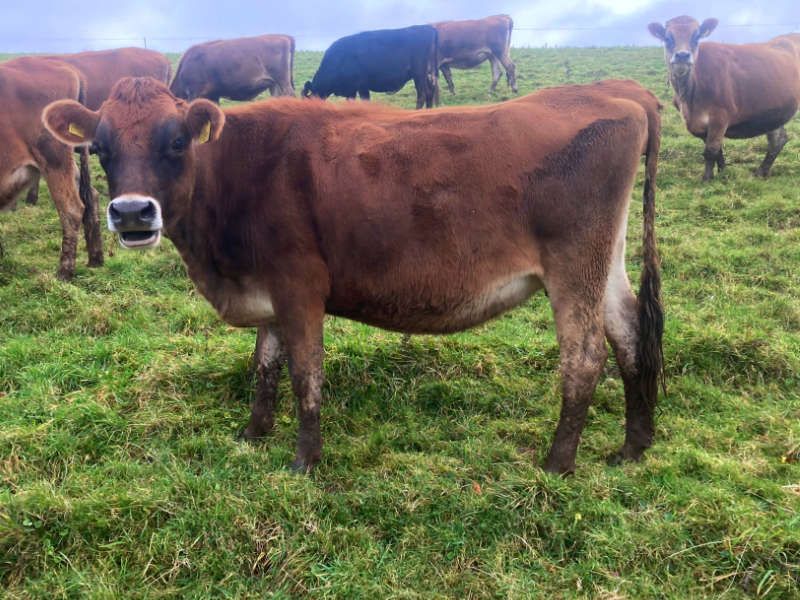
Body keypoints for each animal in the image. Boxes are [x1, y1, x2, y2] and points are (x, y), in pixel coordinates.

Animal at [43, 76, 664, 475]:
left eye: (175, 141)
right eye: (100, 147)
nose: (131, 213)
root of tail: (619, 91)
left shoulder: (299, 286)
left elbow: (304, 375)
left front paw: (304, 461)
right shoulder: (267, 289)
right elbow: (264, 366)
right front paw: (253, 434)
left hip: (573, 265)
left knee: (585, 356)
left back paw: (558, 463)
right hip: (605, 262)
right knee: (631, 335)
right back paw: (633, 447)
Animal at [302, 25, 439, 109]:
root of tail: (427, 28)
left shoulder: (360, 86)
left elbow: (364, 101)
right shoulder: (352, 89)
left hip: (418, 74)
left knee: (422, 94)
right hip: (427, 74)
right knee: (430, 92)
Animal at [649, 16, 800, 180]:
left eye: (696, 37)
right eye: (667, 38)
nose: (682, 55)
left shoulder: (720, 116)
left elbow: (711, 151)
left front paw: (707, 179)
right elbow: (718, 151)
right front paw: (723, 173)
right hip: (772, 112)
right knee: (778, 140)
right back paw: (761, 172)